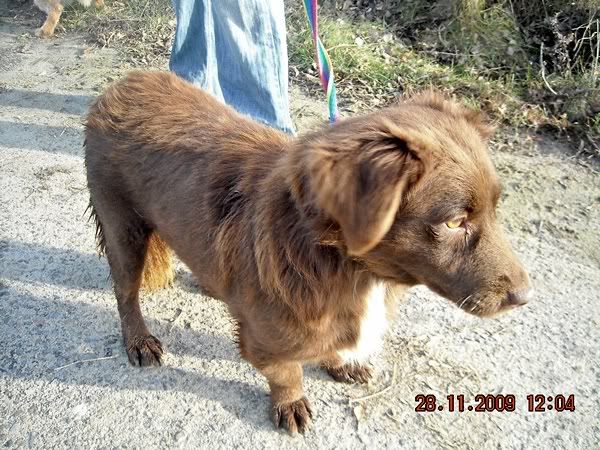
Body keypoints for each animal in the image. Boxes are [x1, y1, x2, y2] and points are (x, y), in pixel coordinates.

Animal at [84, 71, 532, 434]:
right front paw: (291, 403)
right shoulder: (265, 340)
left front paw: (340, 362)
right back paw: (139, 341)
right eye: (454, 222)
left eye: (496, 207)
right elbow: (286, 371)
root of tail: (121, 84)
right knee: (125, 293)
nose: (524, 297)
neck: (345, 265)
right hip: (123, 229)